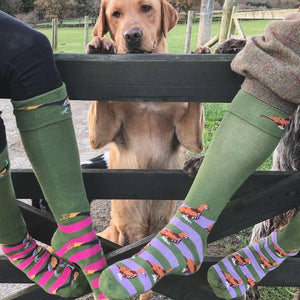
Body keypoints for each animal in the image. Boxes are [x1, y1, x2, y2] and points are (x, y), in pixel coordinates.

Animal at [86, 0, 204, 248]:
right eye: (115, 14)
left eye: (147, 8)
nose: (132, 35)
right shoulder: (100, 134)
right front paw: (100, 45)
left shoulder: (189, 136)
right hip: (118, 233)